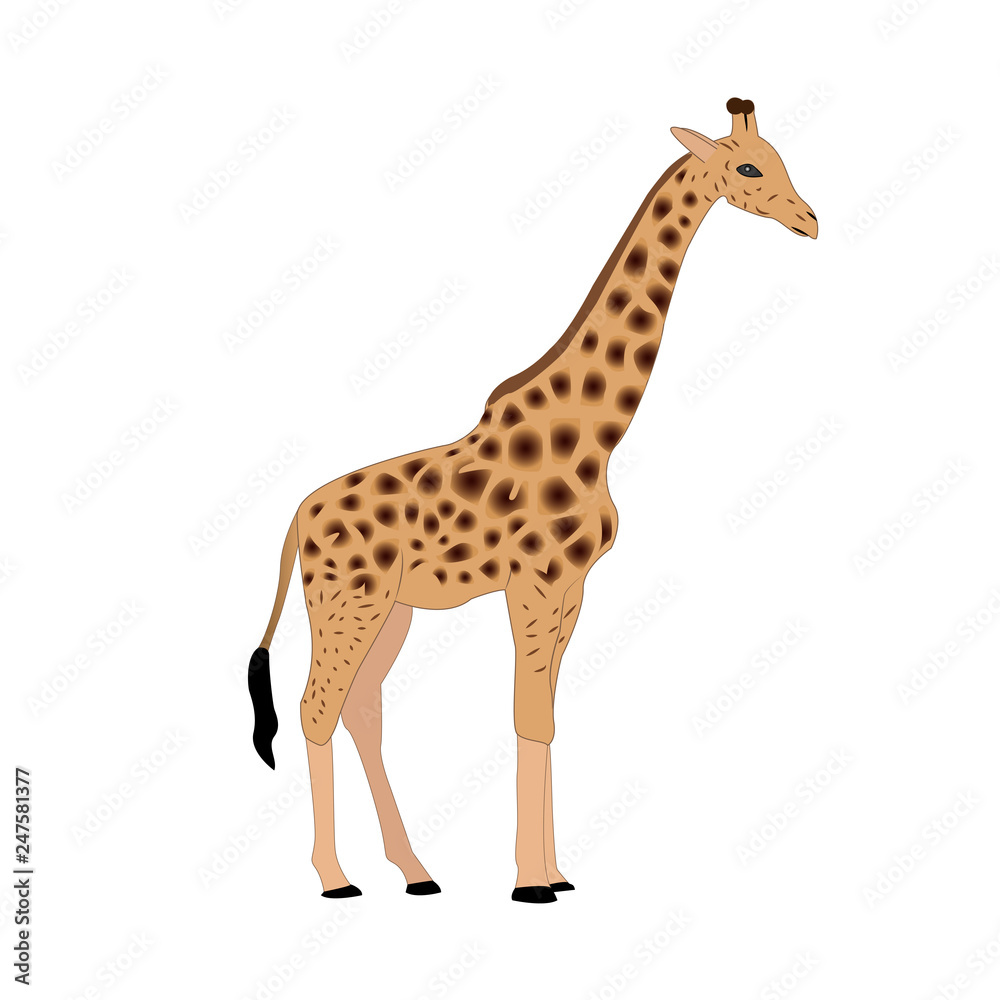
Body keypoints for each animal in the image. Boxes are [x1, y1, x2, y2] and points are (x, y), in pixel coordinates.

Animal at [246, 98, 817, 903]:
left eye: (779, 159)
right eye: (747, 167)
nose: (811, 220)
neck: (596, 433)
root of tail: (297, 516)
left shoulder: (573, 589)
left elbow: (544, 716)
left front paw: (554, 873)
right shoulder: (537, 583)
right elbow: (526, 717)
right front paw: (531, 885)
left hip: (391, 607)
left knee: (360, 707)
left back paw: (417, 872)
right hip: (344, 600)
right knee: (315, 707)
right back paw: (336, 880)